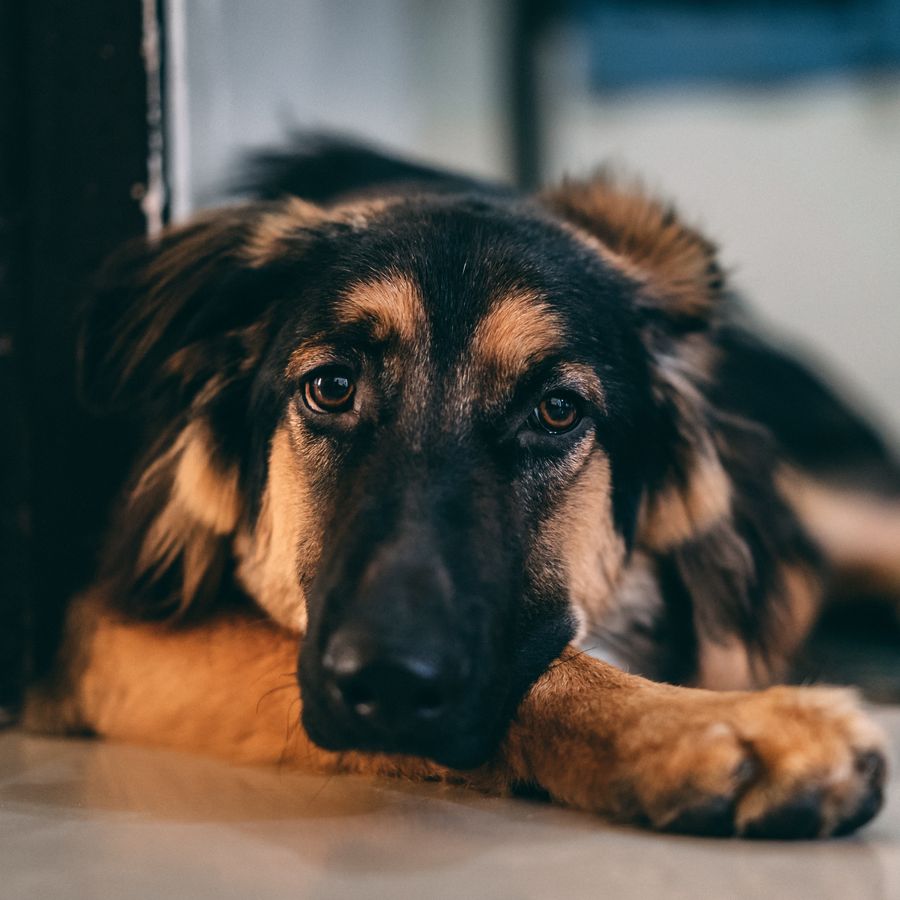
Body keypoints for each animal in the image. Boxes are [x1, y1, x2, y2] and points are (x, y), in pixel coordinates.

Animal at [22, 139, 900, 836]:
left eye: (557, 410)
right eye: (331, 387)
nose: (389, 680)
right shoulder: (112, 628)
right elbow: (548, 674)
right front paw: (717, 727)